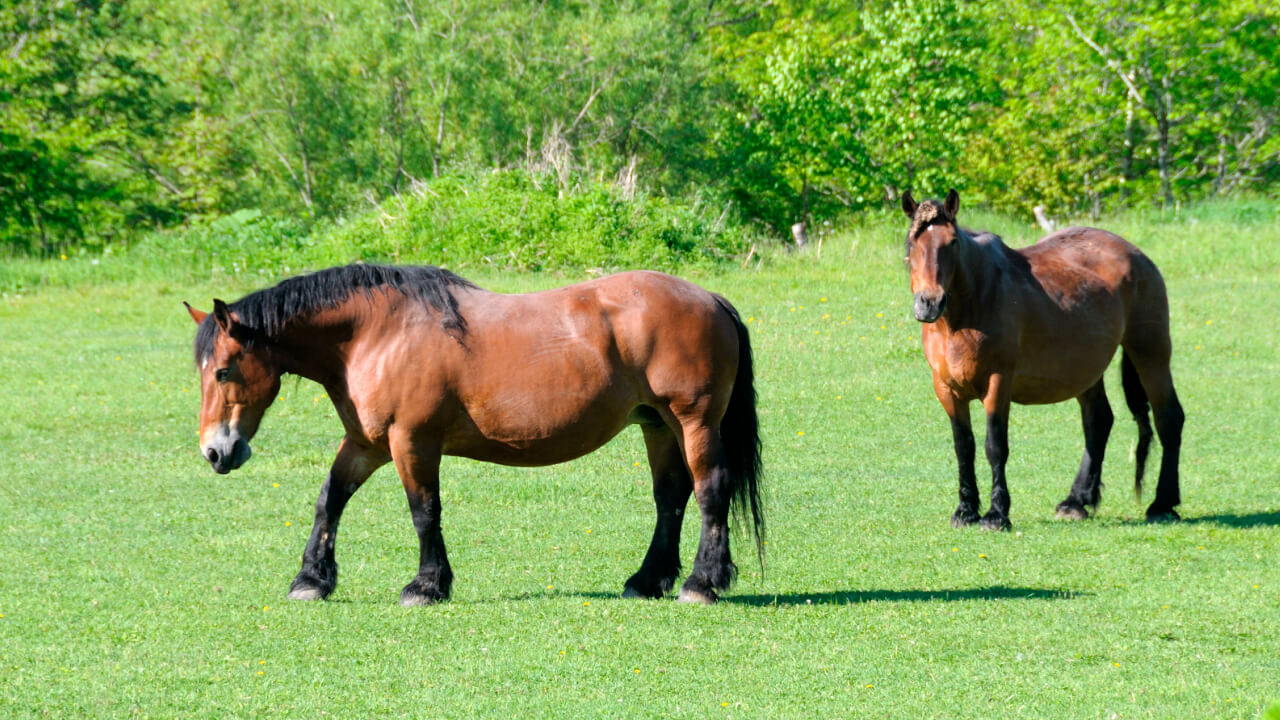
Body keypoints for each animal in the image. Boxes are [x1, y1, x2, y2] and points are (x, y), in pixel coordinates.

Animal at [184, 263, 763, 605]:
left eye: (224, 372)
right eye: (203, 371)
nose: (216, 452)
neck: (380, 334)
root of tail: (710, 298)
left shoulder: (411, 442)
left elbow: (424, 512)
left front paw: (426, 585)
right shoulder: (366, 445)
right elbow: (330, 500)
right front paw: (311, 580)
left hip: (692, 422)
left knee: (711, 492)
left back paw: (702, 583)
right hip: (657, 425)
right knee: (670, 498)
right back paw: (648, 580)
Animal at [900, 189, 1183, 530]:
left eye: (952, 242)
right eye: (912, 242)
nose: (929, 303)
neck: (966, 312)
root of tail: (1137, 255)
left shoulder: (998, 383)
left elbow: (995, 446)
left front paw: (996, 515)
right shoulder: (946, 388)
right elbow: (964, 447)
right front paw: (966, 510)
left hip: (1151, 355)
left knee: (1169, 418)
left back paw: (1163, 503)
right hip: (1087, 368)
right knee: (1099, 421)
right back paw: (1076, 501)